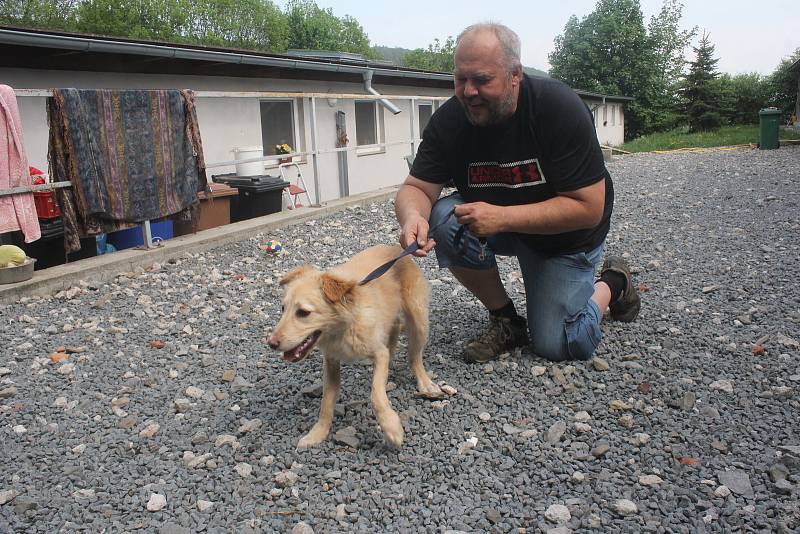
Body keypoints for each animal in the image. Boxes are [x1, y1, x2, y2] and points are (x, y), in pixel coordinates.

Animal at [268, 245, 444, 450]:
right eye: (282, 308)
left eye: (303, 312)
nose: (271, 343)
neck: (343, 329)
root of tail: (397, 248)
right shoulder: (331, 362)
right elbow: (326, 402)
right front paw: (317, 433)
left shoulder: (378, 353)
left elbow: (375, 394)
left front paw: (391, 426)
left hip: (418, 321)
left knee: (414, 357)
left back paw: (425, 382)